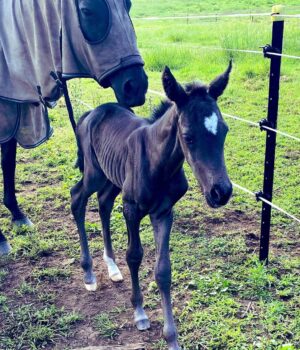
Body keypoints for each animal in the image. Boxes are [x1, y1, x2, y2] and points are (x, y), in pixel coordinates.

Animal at [0, 0, 148, 258]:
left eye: (128, 5)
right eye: (87, 10)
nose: (136, 86)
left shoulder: (13, 117)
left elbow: (8, 164)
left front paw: (17, 216)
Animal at [71, 63, 233, 350]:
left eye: (223, 131)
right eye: (188, 137)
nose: (221, 192)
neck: (159, 163)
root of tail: (90, 113)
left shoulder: (163, 212)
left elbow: (163, 270)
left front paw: (172, 338)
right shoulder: (132, 209)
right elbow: (134, 256)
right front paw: (140, 313)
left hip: (112, 179)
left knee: (103, 203)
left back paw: (111, 267)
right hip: (94, 174)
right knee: (77, 199)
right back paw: (89, 274)